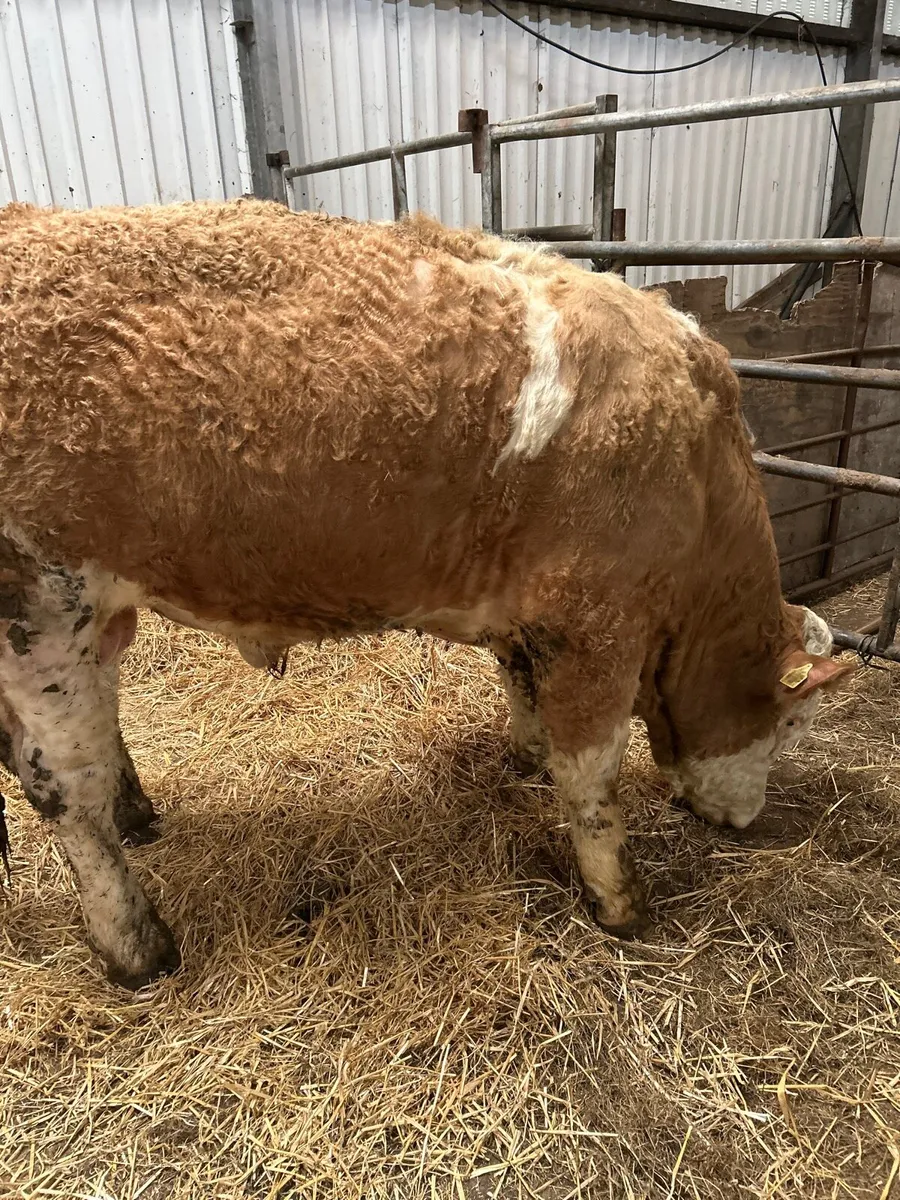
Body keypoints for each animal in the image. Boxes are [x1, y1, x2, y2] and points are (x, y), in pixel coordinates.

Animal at [0, 199, 851, 989]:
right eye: (792, 724)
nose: (747, 821)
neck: (699, 470)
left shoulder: (531, 614)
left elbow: (520, 684)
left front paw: (525, 758)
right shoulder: (595, 622)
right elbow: (593, 775)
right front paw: (619, 901)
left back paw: (136, 815)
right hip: (42, 613)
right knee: (64, 789)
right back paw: (137, 945)